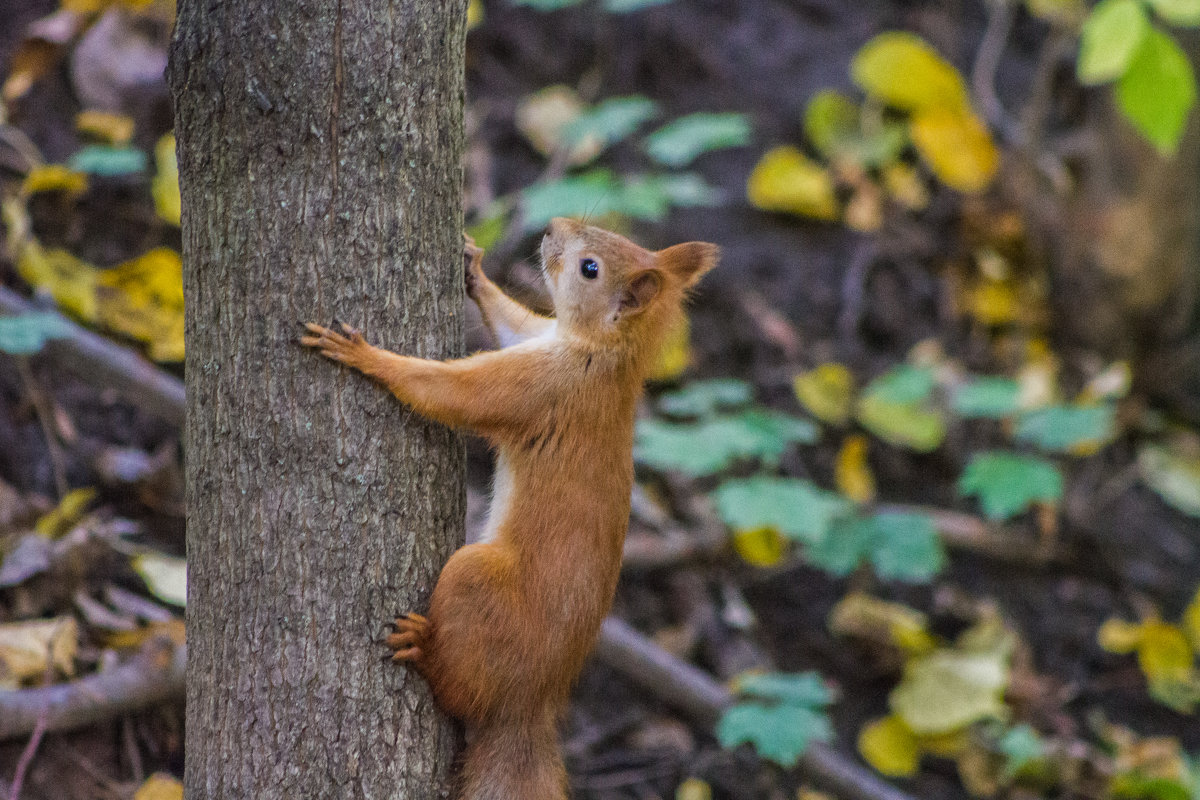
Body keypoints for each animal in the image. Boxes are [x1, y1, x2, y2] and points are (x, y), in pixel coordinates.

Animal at [300, 219, 715, 800]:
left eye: (590, 268)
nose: (553, 227)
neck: (602, 356)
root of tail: (530, 702)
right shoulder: (536, 342)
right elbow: (515, 323)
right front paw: (474, 267)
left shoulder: (539, 389)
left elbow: (453, 392)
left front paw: (365, 355)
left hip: (477, 583)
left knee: (458, 692)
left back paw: (423, 649)